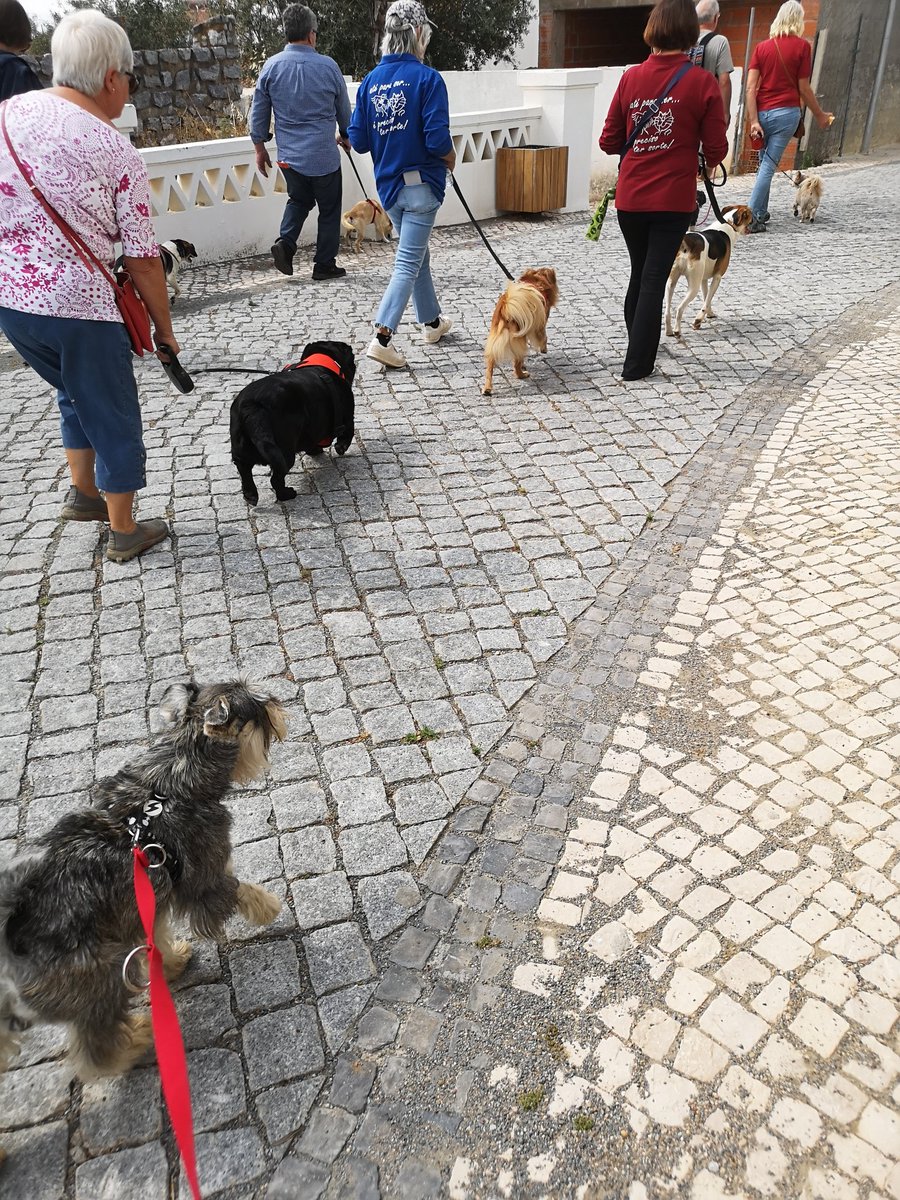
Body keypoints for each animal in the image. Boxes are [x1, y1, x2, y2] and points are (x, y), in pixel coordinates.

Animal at [0, 681, 285, 1108]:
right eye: (255, 708)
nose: (278, 701)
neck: (169, 782)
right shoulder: (205, 880)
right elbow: (240, 890)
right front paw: (270, 907)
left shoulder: (149, 897)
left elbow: (158, 936)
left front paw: (170, 962)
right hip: (99, 974)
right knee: (97, 1048)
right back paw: (137, 1036)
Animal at [482, 268, 561, 396]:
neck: (535, 281)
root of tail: (505, 310)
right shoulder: (539, 325)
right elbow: (544, 337)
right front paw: (544, 349)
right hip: (519, 339)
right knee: (516, 364)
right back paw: (522, 375)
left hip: (494, 343)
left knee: (490, 368)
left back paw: (487, 389)